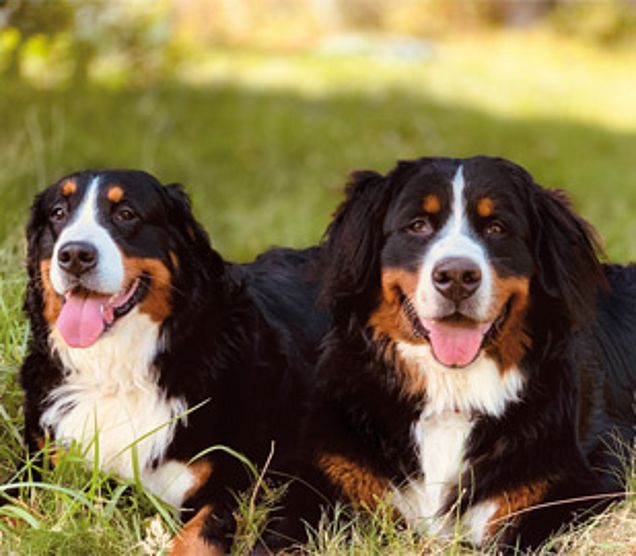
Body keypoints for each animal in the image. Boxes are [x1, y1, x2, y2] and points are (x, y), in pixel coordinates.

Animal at [19, 169, 328, 552]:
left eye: (126, 214)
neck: (118, 373)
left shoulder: (235, 484)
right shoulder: (37, 469)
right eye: (58, 213)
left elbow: (192, 538)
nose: (75, 254)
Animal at [274, 155, 636, 552]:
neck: (451, 389)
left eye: (496, 228)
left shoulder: (568, 489)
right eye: (418, 225)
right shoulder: (328, 473)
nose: (458, 276)